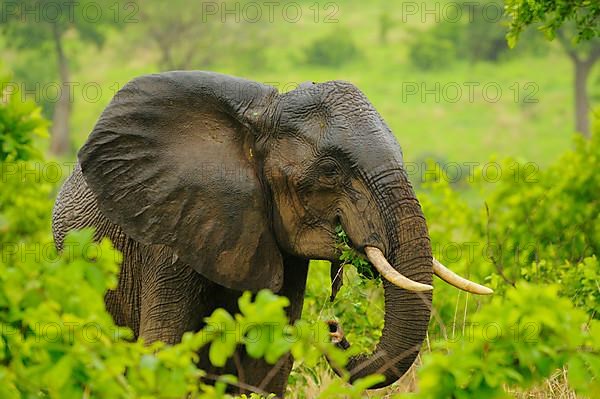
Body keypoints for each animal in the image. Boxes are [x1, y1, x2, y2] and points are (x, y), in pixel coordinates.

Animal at [52, 72, 492, 396]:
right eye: (330, 170)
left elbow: (266, 362)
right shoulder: (167, 233)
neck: (262, 117)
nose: (334, 330)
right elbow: (164, 349)